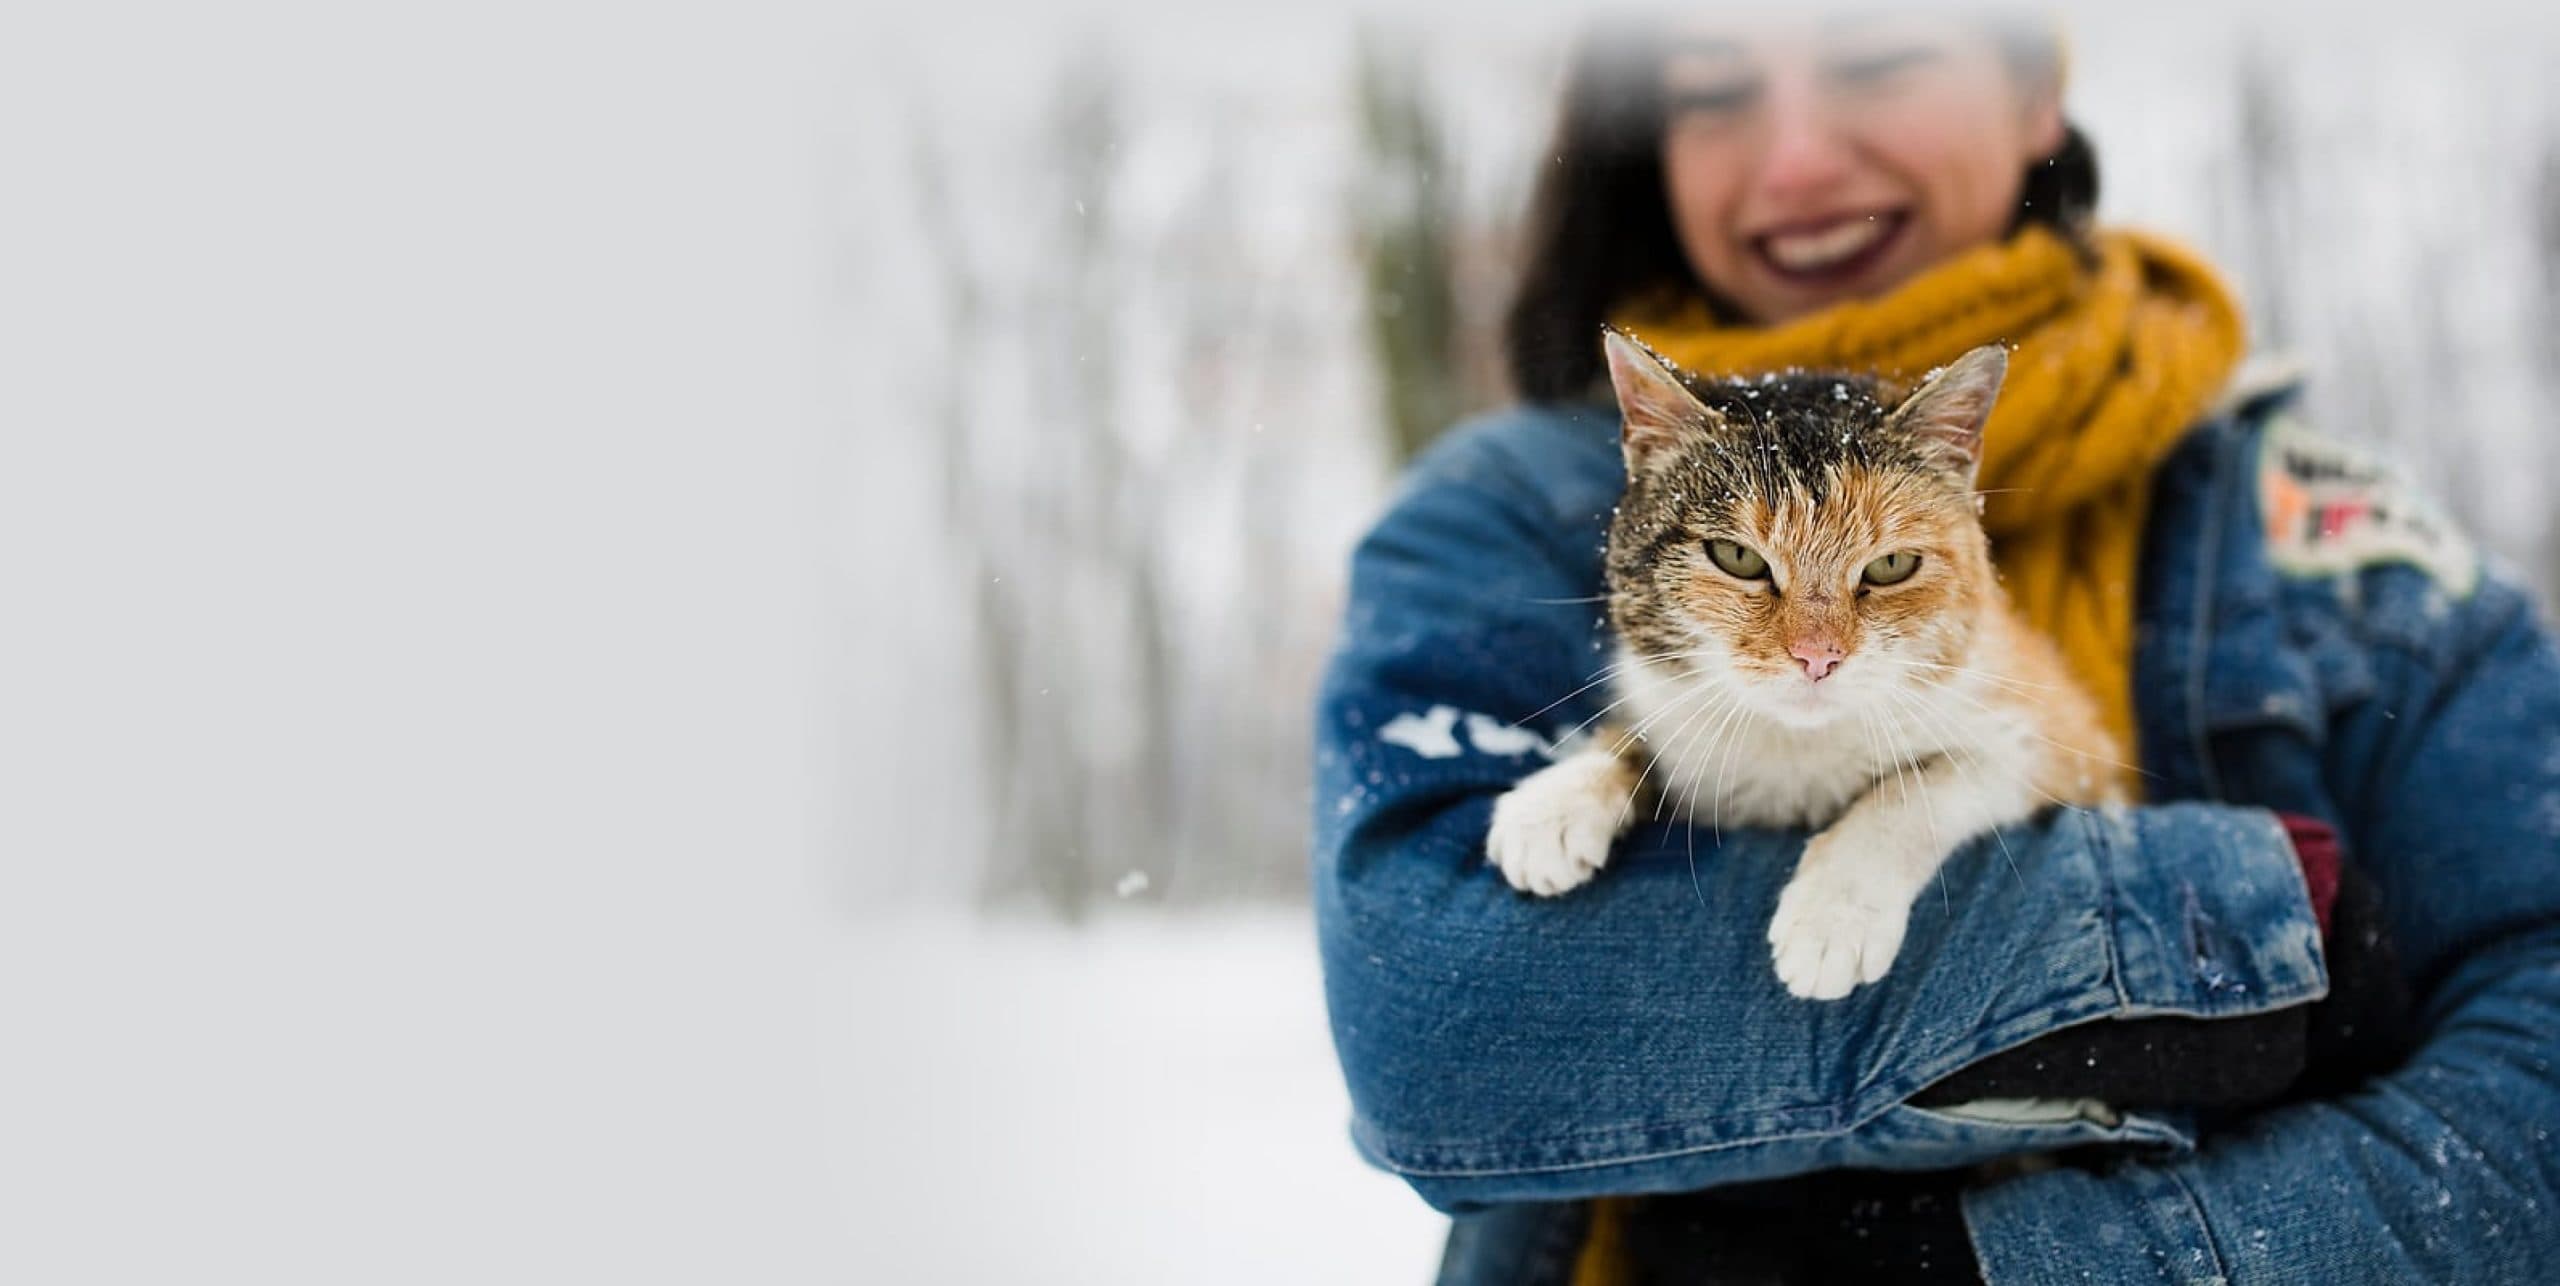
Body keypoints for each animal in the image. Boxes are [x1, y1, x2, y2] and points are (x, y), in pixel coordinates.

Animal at [1484, 330, 2119, 1004]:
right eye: (1736, 557)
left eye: (1890, 565)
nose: (1819, 656)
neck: (1798, 748)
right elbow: (1638, 733)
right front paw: (1555, 803)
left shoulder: (2054, 740)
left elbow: (1915, 790)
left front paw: (1835, 915)